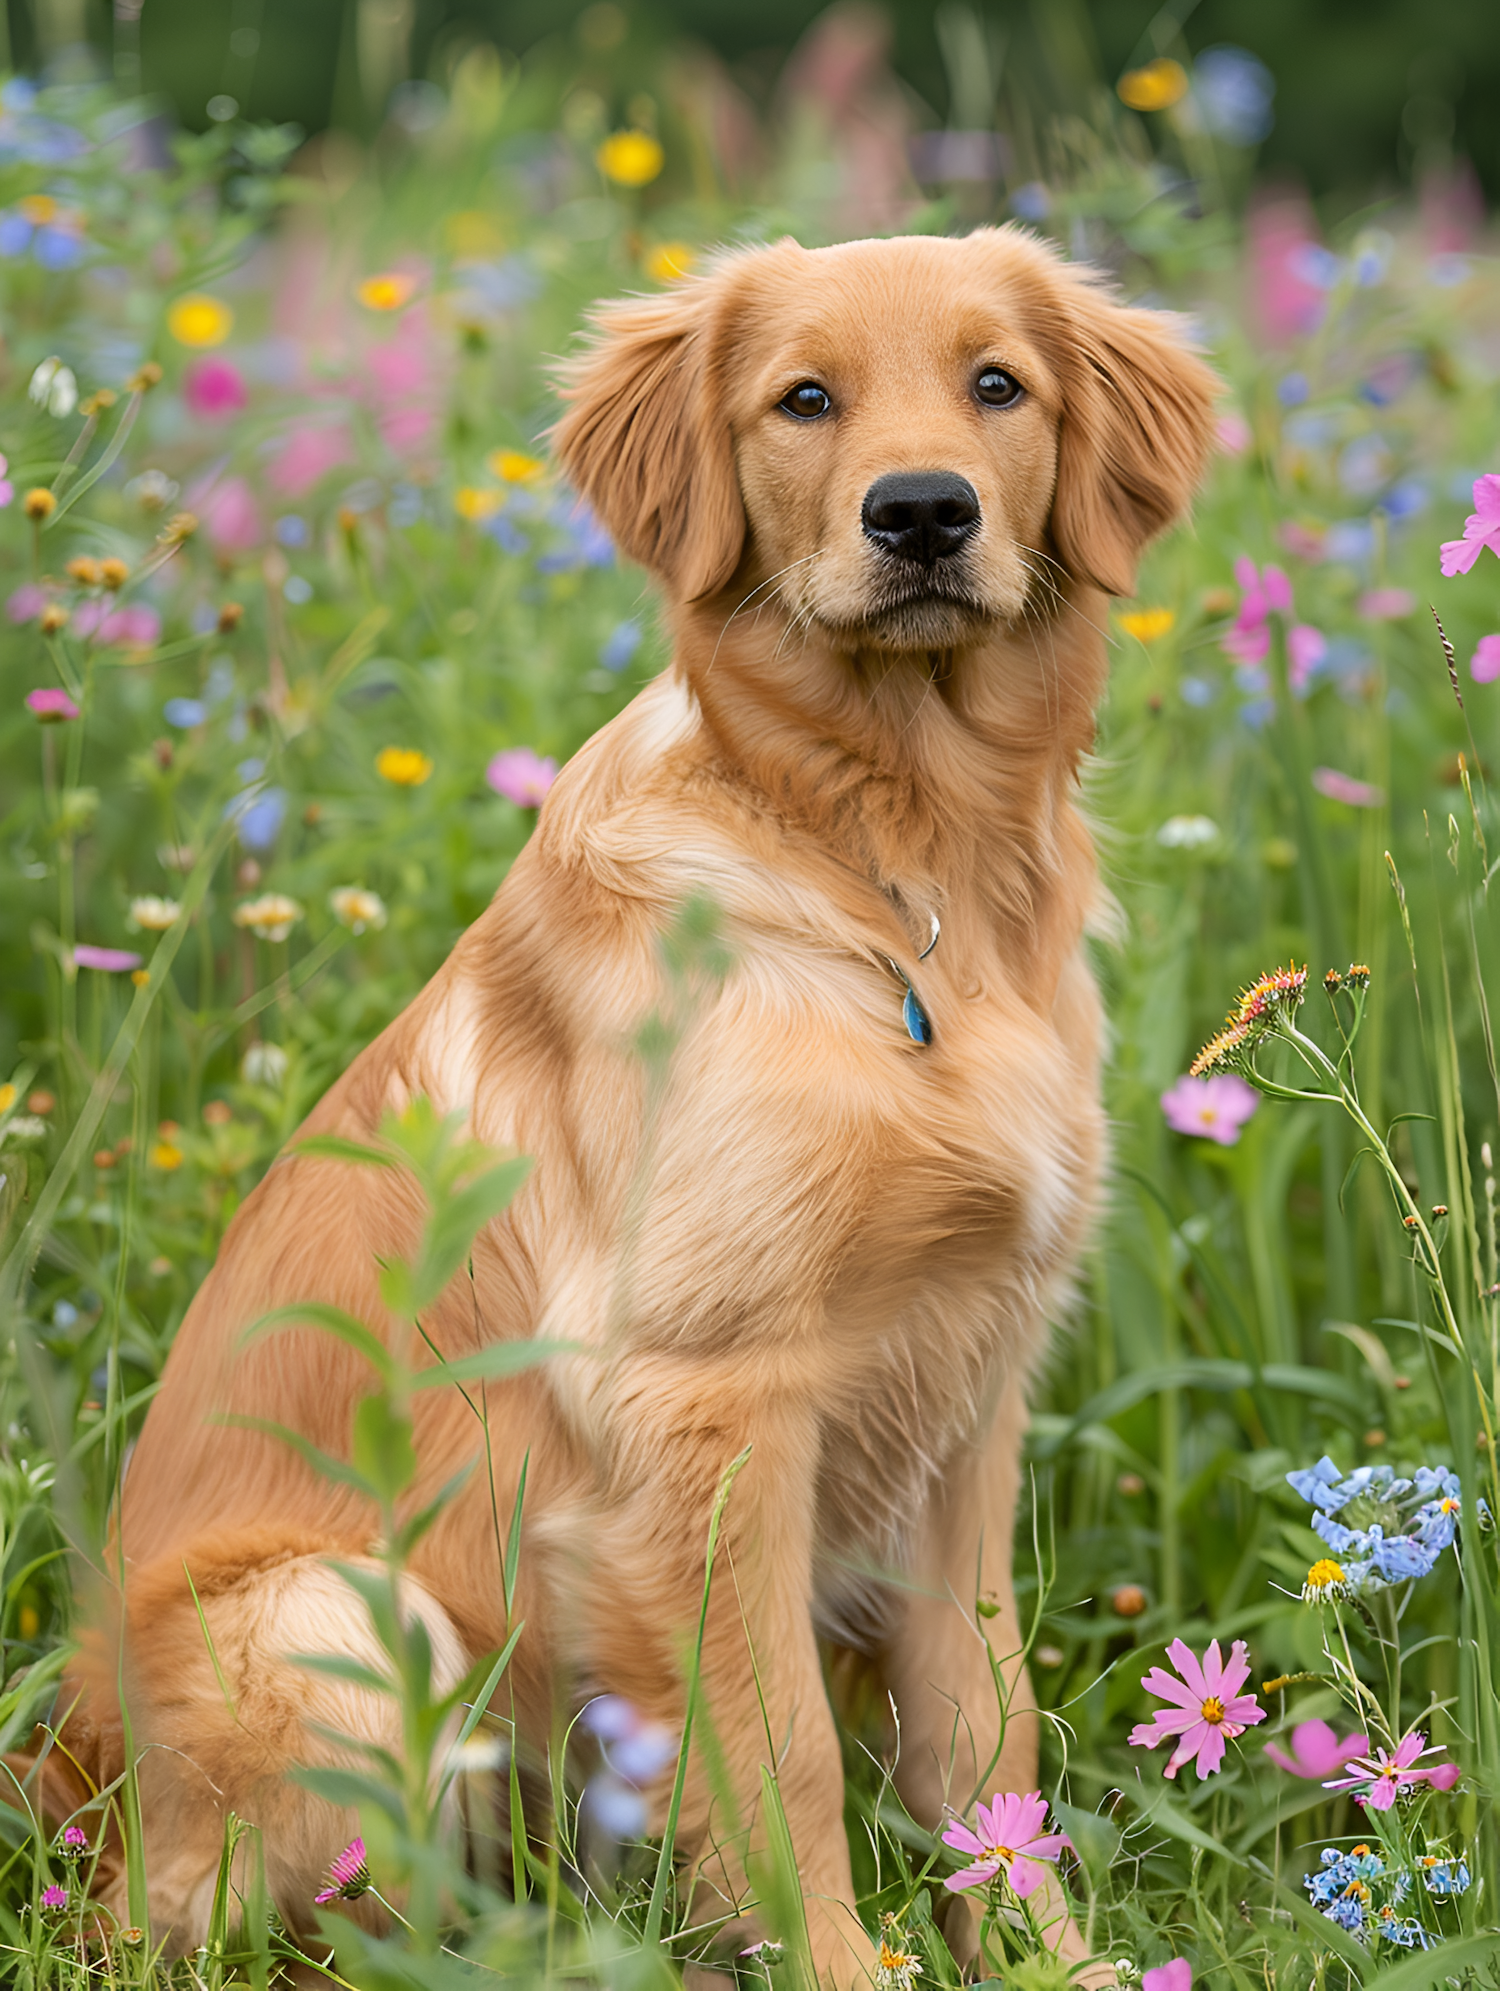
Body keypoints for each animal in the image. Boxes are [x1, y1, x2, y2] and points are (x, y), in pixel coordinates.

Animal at [20, 228, 1219, 1975]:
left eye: (998, 383)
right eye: (805, 399)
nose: (922, 511)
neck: (891, 861)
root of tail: (60, 1794)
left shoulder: (970, 1395)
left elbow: (978, 1726)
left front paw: (1053, 1952)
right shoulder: (702, 1406)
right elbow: (781, 1754)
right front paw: (844, 1961)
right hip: (333, 1612)